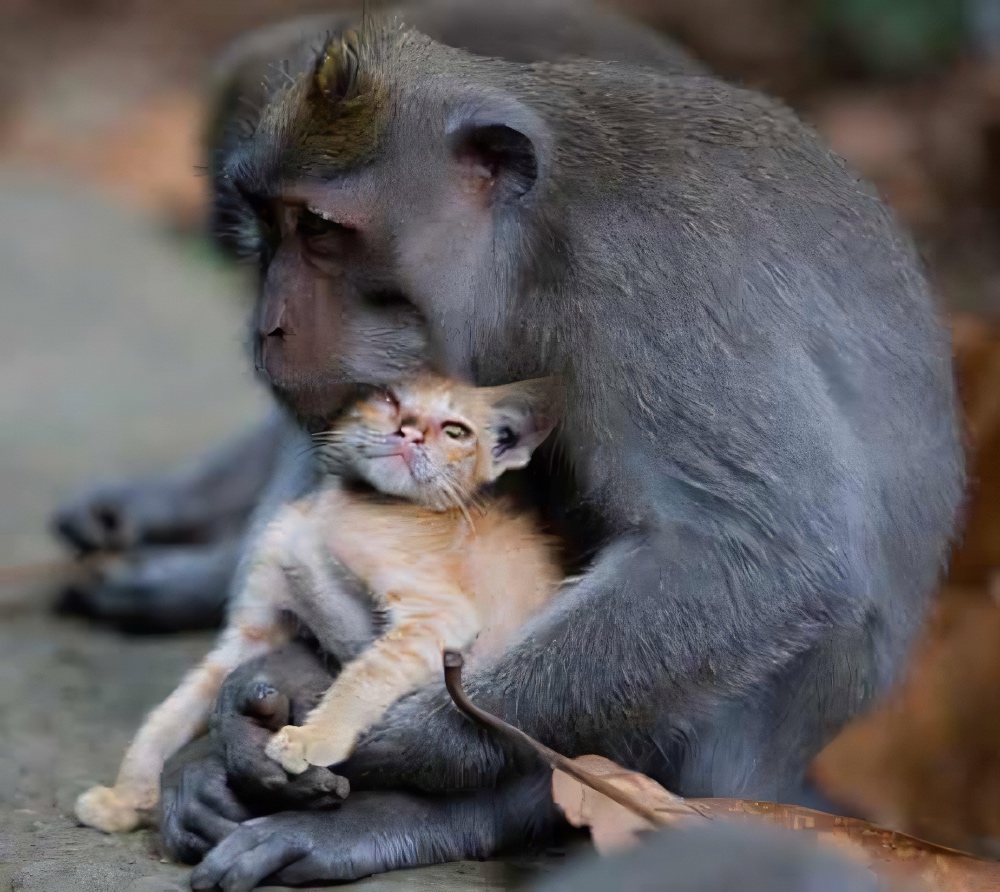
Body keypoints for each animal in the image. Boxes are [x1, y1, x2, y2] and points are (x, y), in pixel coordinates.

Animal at [138, 14, 960, 890]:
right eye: (269, 224)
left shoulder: (647, 285)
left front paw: (415, 741)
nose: (269, 325)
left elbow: (764, 554)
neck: (533, 247)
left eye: (321, 230)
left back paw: (432, 814)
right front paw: (258, 691)